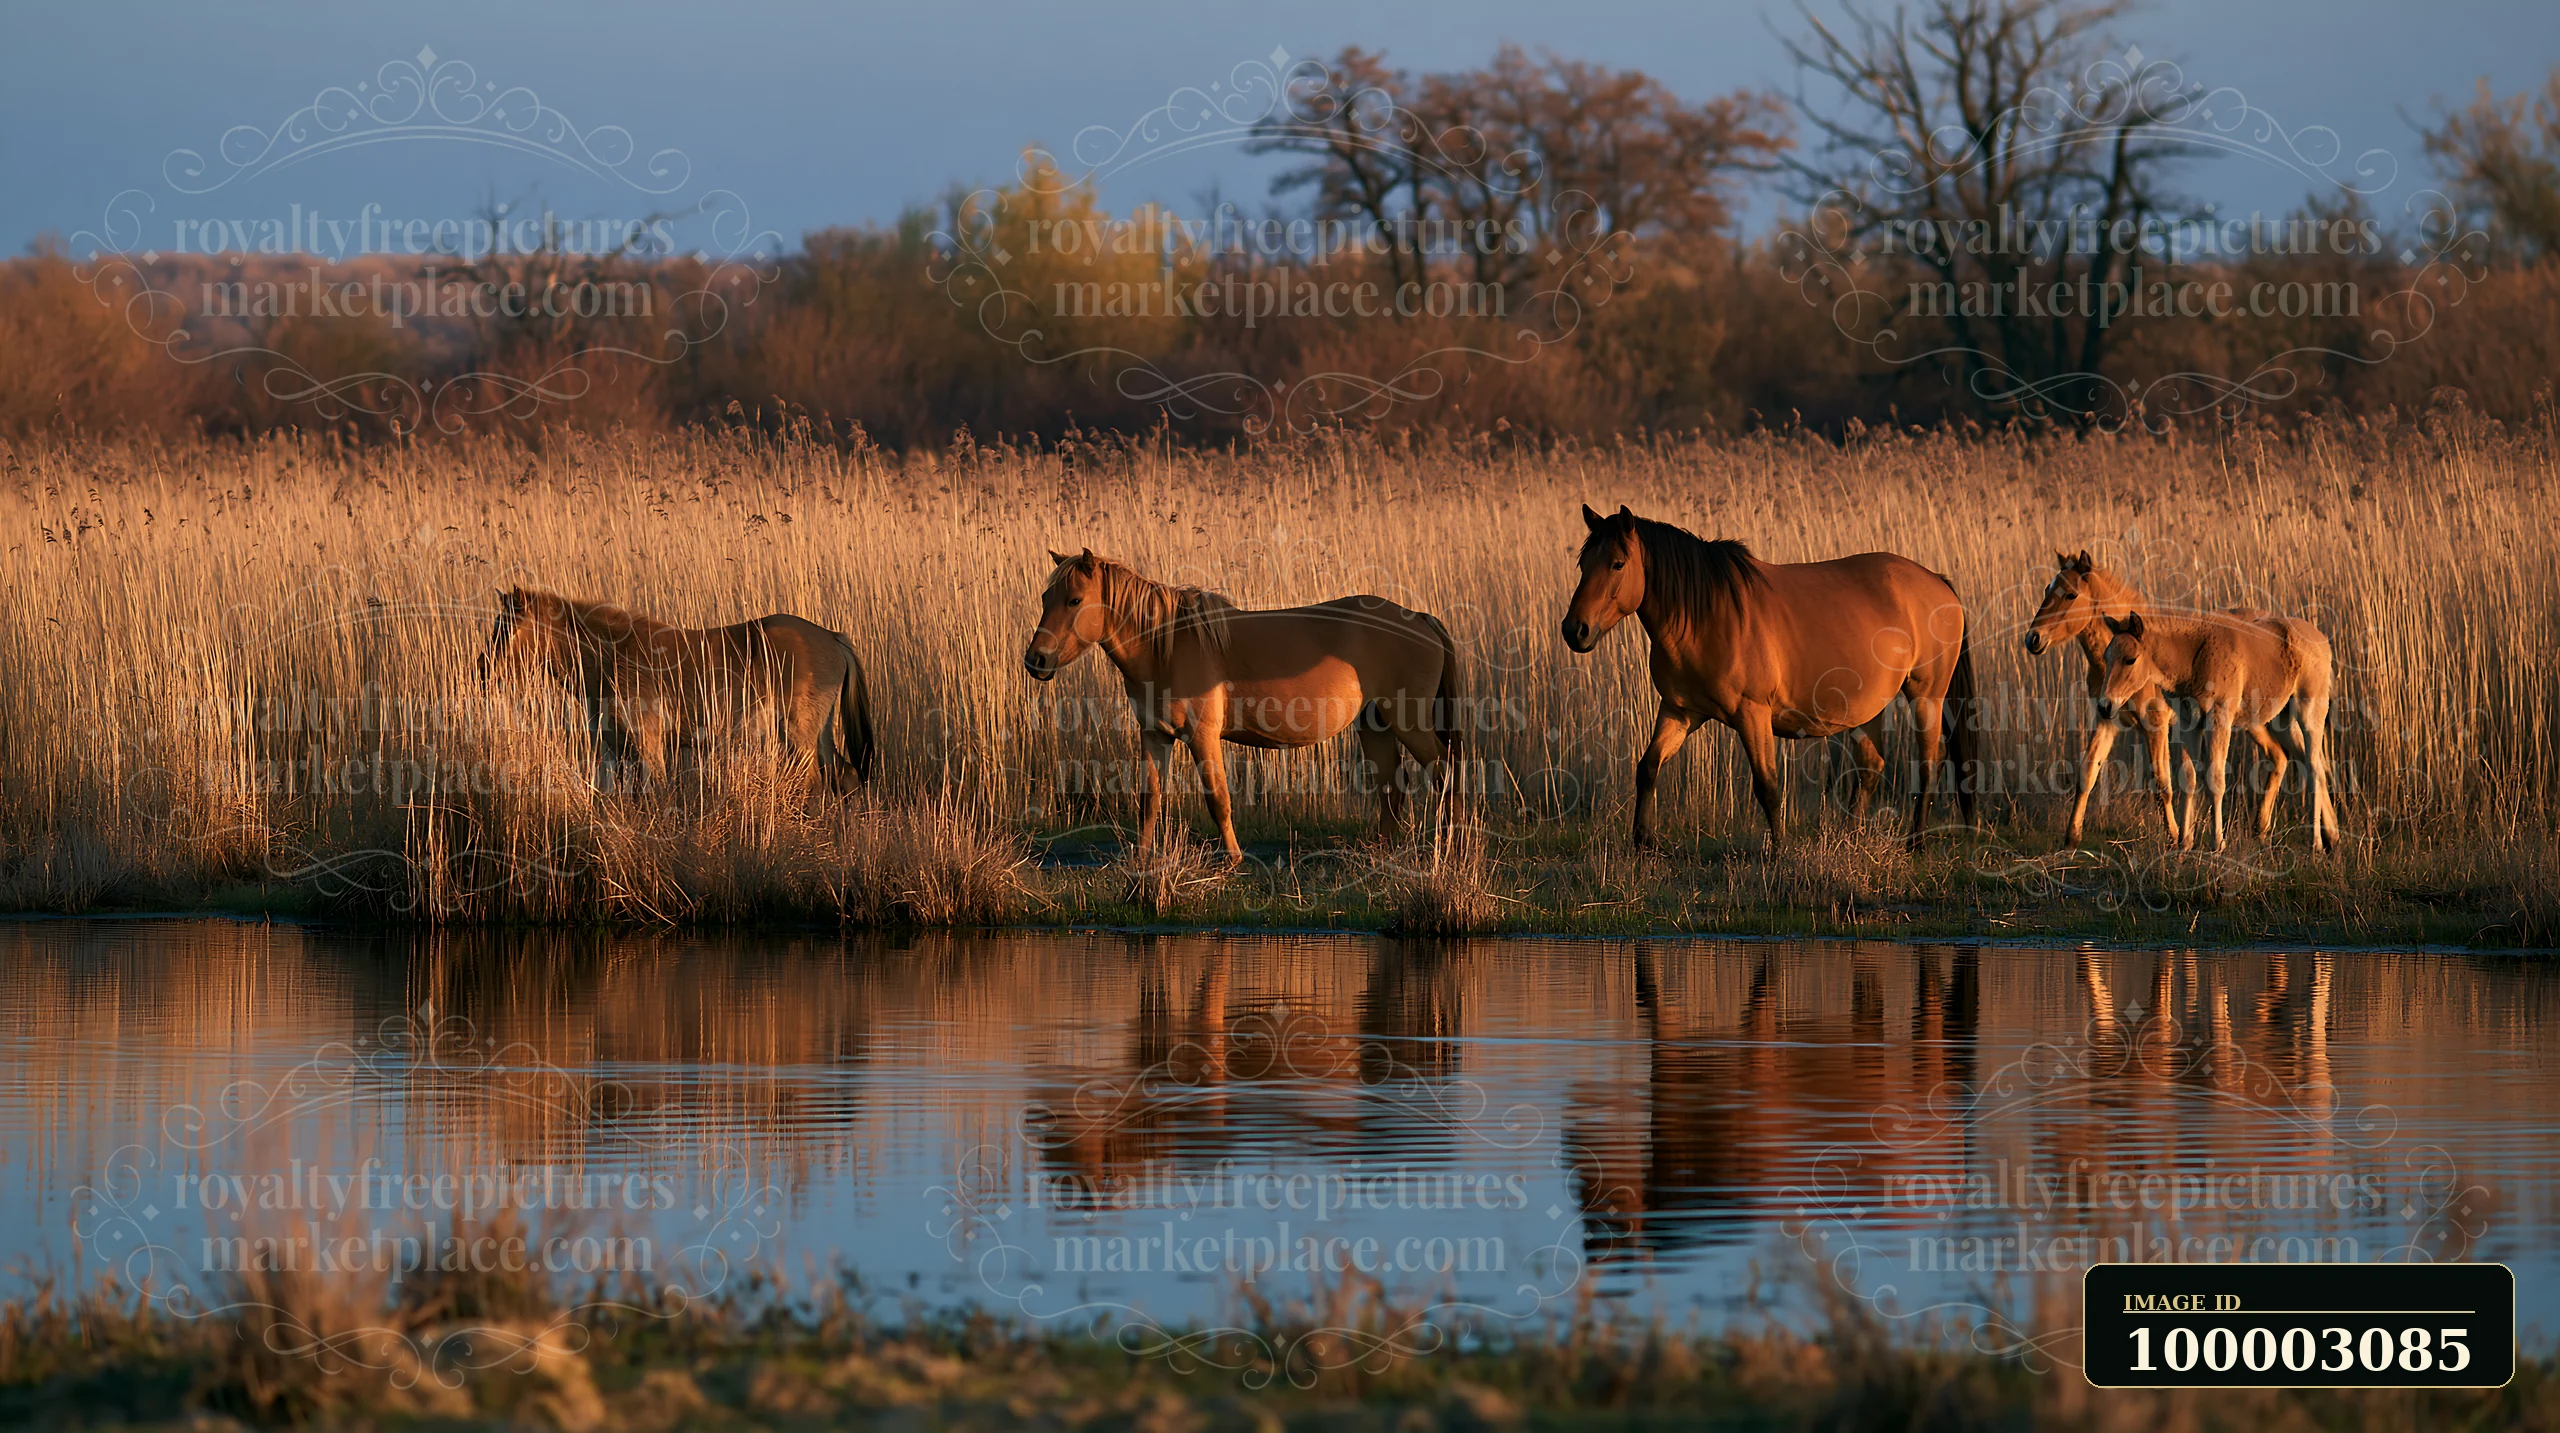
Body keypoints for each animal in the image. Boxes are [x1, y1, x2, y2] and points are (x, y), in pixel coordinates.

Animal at [482, 587, 875, 795]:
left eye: (507, 629)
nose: (483, 671)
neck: (611, 656)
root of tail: (831, 637)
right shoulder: (621, 752)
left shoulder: (649, 745)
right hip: (819, 735)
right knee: (846, 776)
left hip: (798, 735)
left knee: (813, 783)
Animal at [1022, 549, 1457, 865]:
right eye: (1045, 598)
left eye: (1075, 600)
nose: (1035, 661)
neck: (1166, 646)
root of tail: (1418, 618)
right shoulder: (1155, 735)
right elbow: (1150, 800)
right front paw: (1141, 861)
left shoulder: (1202, 737)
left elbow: (1218, 800)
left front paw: (1233, 861)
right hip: (1374, 723)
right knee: (1392, 786)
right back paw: (1382, 852)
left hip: (1408, 721)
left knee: (1443, 769)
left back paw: (1449, 842)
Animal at [1560, 504, 1977, 851]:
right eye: (1582, 565)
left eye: (1617, 564)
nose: (1575, 630)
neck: (1706, 616)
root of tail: (1937, 581)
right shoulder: (1679, 712)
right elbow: (1648, 767)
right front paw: (1643, 842)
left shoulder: (1752, 713)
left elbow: (1768, 786)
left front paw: (1778, 852)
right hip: (1868, 706)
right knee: (1870, 768)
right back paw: (1848, 839)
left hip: (1926, 696)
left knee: (1929, 763)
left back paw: (1915, 843)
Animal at [2094, 609, 2337, 852]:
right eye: (2107, 658)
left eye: (2130, 660)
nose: (2105, 706)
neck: (2193, 657)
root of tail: (2322, 641)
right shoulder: (2187, 723)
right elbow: (2188, 778)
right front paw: (2184, 843)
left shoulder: (2219, 718)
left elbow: (2215, 779)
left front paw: (2218, 843)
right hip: (2282, 720)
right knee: (2306, 762)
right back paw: (2329, 836)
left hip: (2310, 712)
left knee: (2314, 769)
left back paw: (2316, 842)